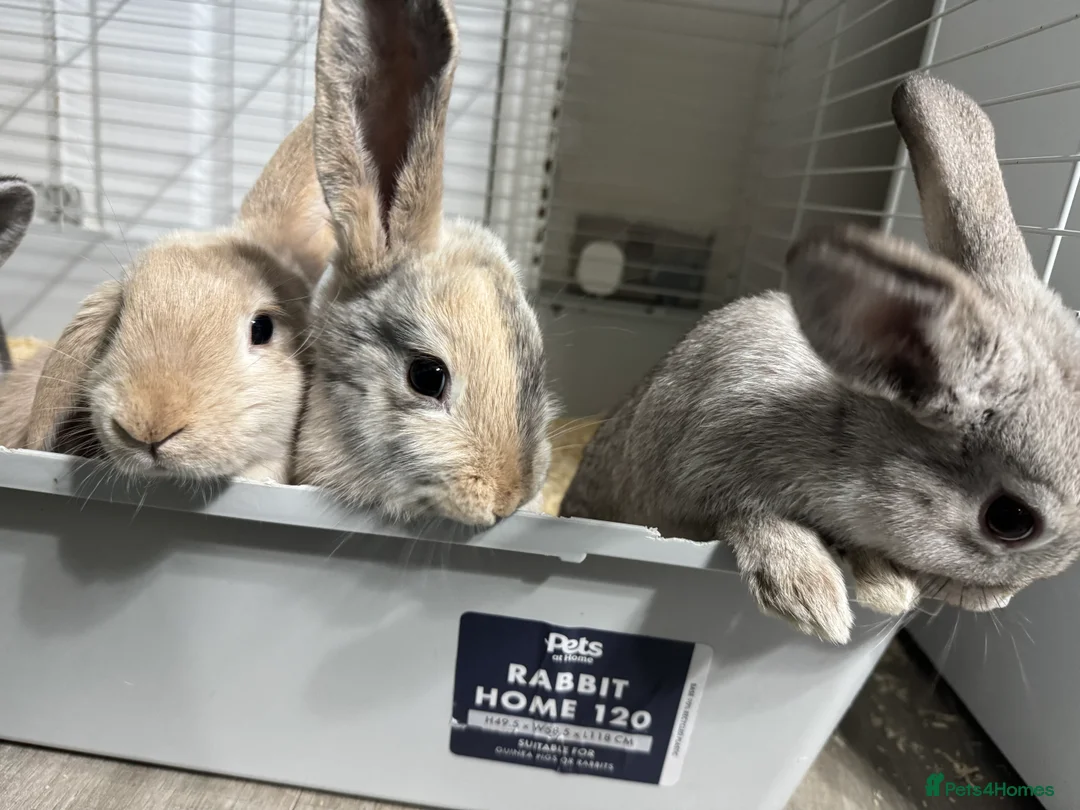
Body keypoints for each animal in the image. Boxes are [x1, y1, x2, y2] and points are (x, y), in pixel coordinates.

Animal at [560, 73, 1080, 645]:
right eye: (1009, 520)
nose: (997, 601)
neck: (848, 430)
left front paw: (883, 585)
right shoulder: (706, 466)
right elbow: (750, 515)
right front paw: (814, 599)